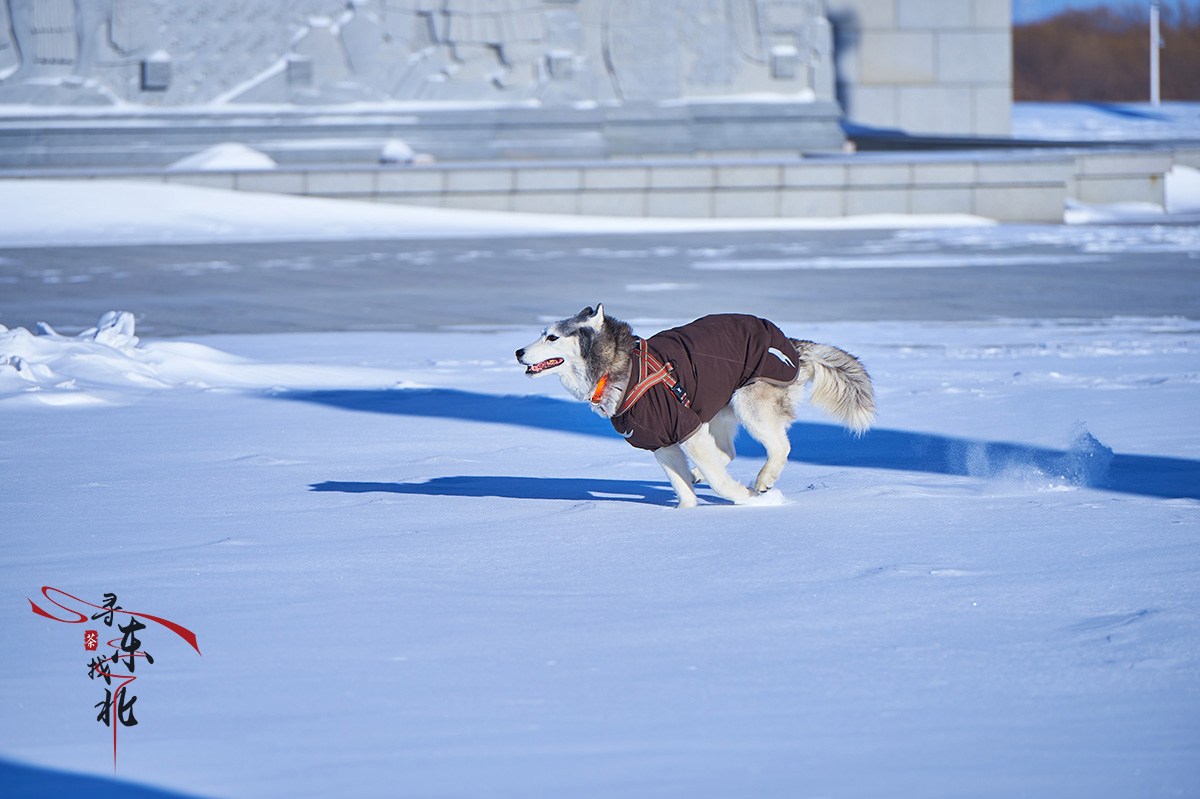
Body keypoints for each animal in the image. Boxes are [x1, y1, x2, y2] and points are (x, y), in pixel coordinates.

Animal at [516, 304, 873, 503]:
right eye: (542, 333)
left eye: (552, 337)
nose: (518, 352)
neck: (620, 368)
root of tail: (792, 345)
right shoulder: (661, 440)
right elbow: (682, 486)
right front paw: (686, 513)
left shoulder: (685, 427)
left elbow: (721, 482)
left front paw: (747, 500)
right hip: (717, 408)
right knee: (727, 451)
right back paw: (701, 473)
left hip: (750, 404)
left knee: (779, 446)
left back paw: (762, 482)